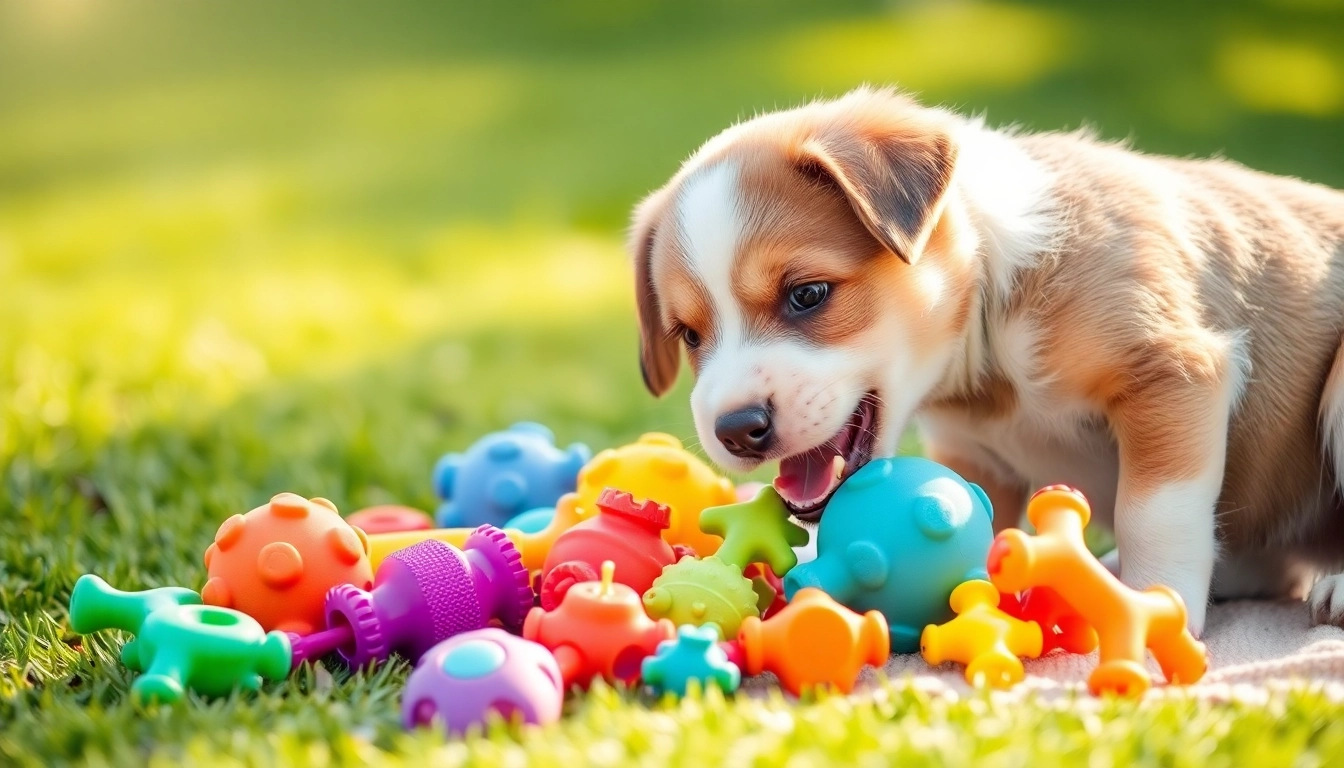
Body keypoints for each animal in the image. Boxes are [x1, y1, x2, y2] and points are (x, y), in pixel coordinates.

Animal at [634, 88, 1344, 637]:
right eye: (689, 335)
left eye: (807, 294)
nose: (735, 430)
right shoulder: (974, 458)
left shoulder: (1172, 372)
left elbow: (1155, 515)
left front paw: (1151, 611)